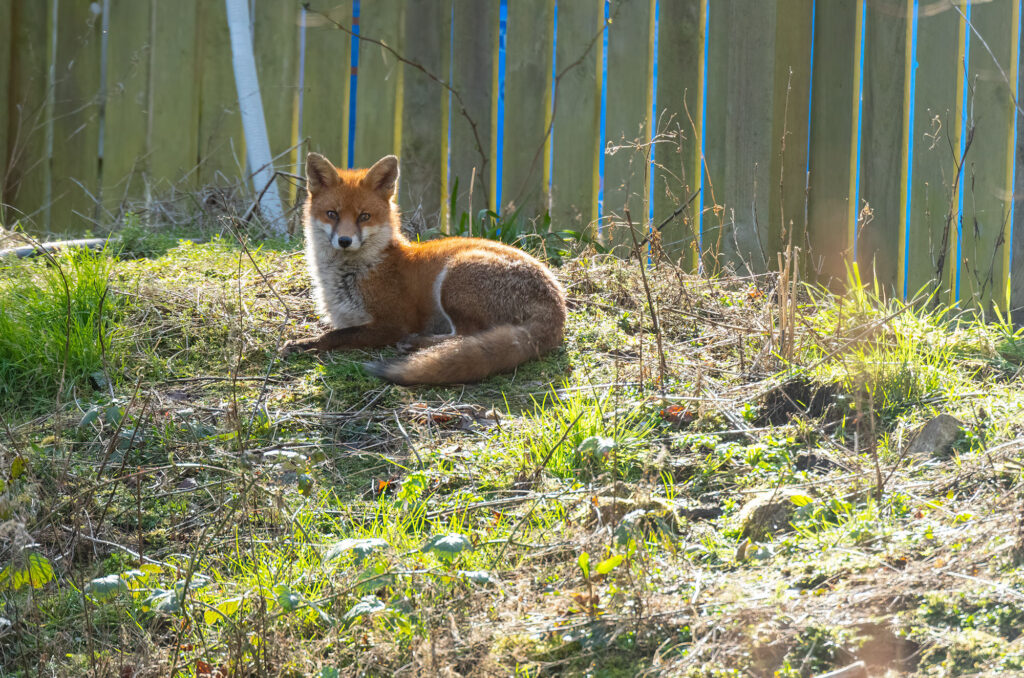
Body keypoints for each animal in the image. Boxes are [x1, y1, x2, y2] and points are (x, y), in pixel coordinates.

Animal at [282, 154, 569, 387]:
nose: (344, 240)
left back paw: (416, 344)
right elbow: (338, 329)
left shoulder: (392, 323)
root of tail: (558, 304)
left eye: (364, 216)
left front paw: (305, 345)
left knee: (466, 336)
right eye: (332, 214)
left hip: (454, 278)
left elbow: (337, 335)